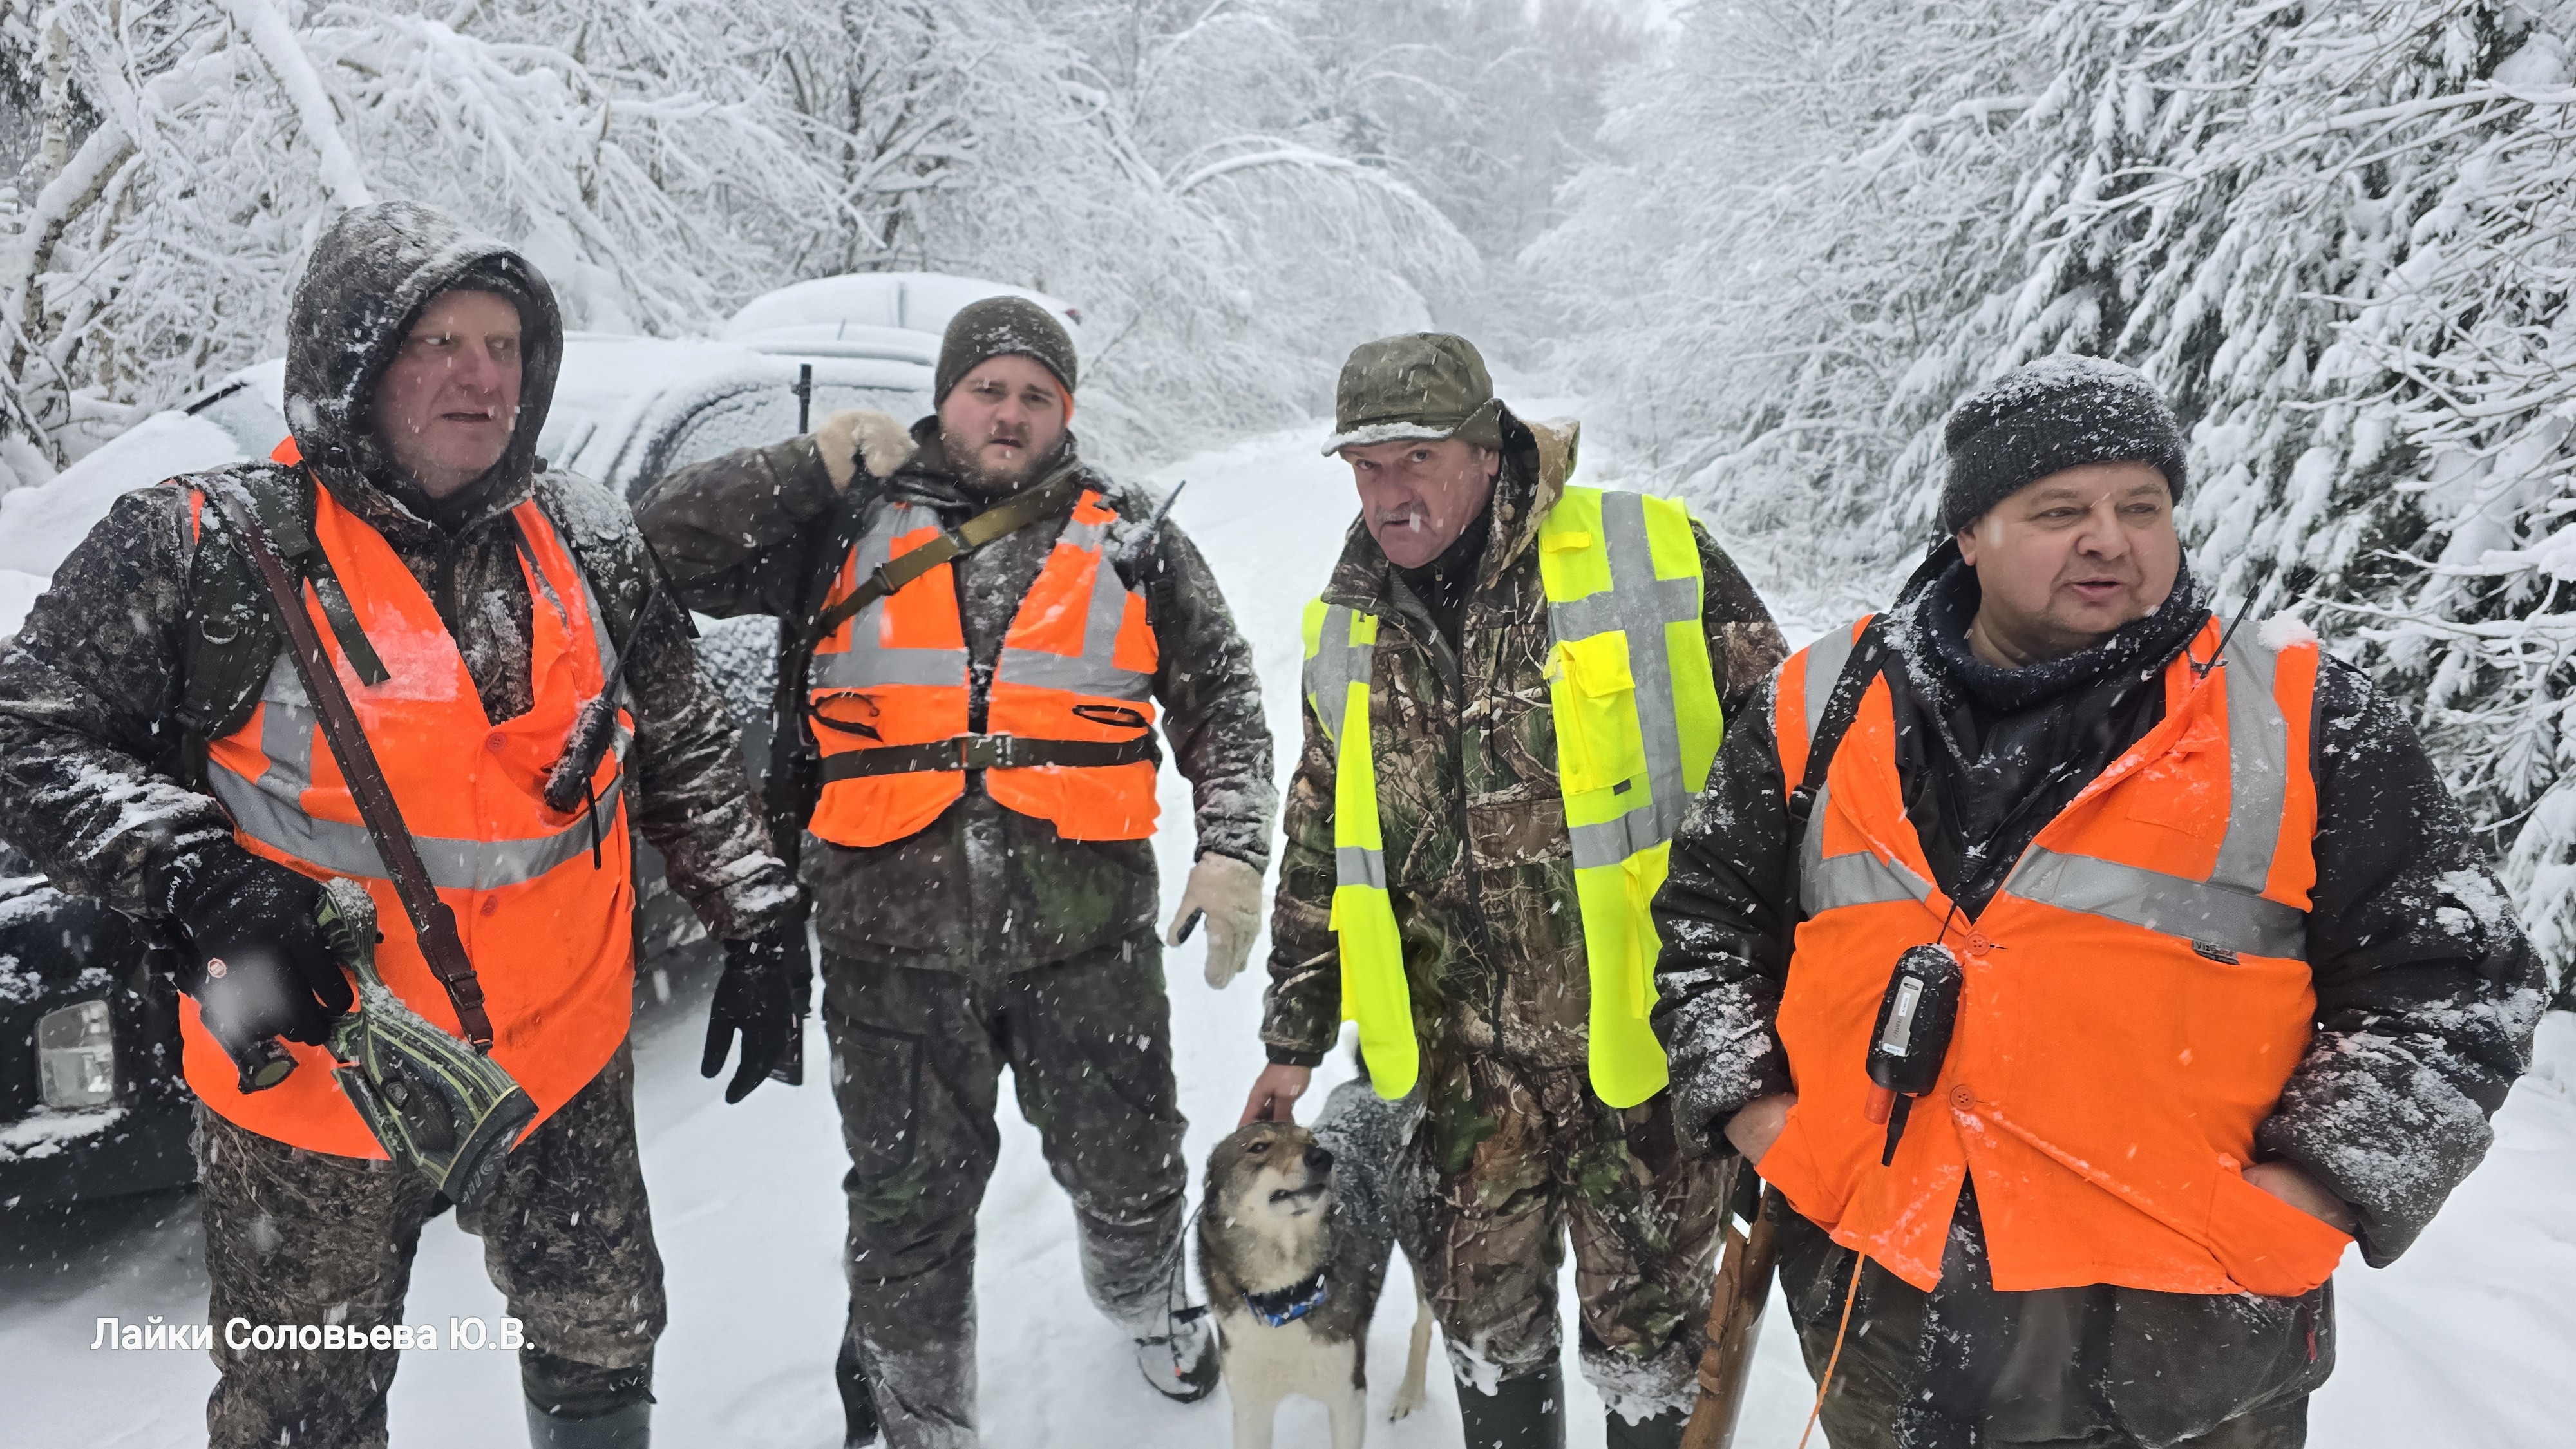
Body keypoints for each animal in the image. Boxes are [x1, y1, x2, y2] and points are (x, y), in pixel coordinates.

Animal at [1200, 1072, 1443, 1443]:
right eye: (1259, 1147)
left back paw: (1409, 1396)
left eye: (1311, 1140)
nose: (1322, 1157)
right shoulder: (1250, 1407)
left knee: (1423, 1324)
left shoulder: (1347, 1395)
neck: (1284, 1297)